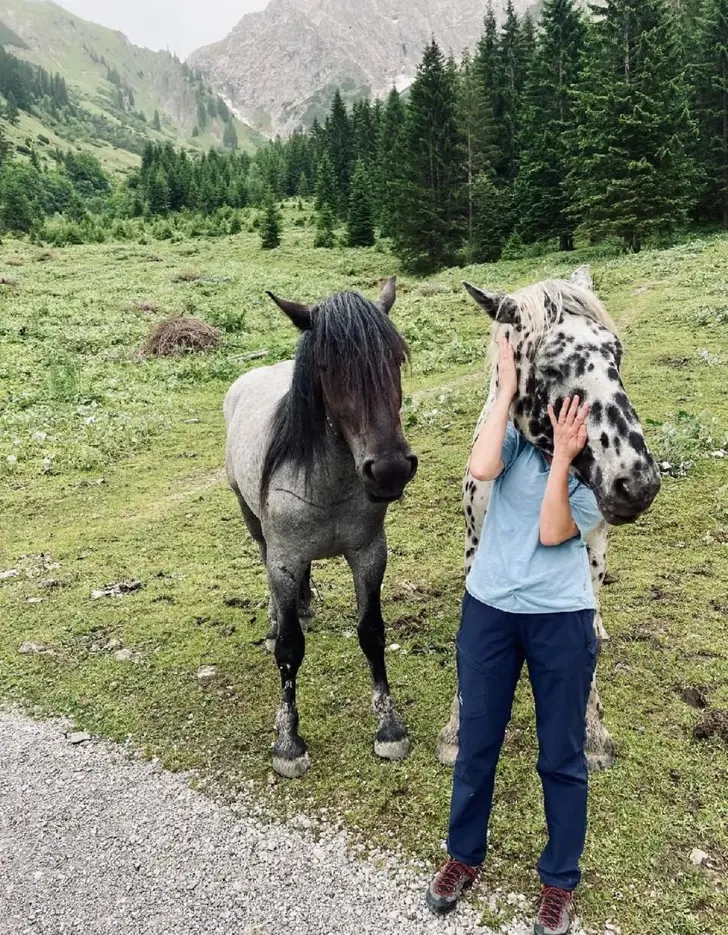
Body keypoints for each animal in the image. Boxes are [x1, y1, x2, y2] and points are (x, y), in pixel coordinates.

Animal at [224, 278, 418, 779]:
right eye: (328, 367)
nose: (389, 469)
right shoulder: (285, 559)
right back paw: (277, 616)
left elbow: (372, 633)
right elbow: (290, 649)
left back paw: (305, 606)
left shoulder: (369, 554)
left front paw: (389, 727)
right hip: (253, 523)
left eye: (395, 359)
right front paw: (288, 742)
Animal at [435, 266, 661, 772]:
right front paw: (456, 730)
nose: (637, 483)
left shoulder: (588, 551)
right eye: (553, 367)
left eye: (616, 353)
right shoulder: (475, 546)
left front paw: (593, 733)